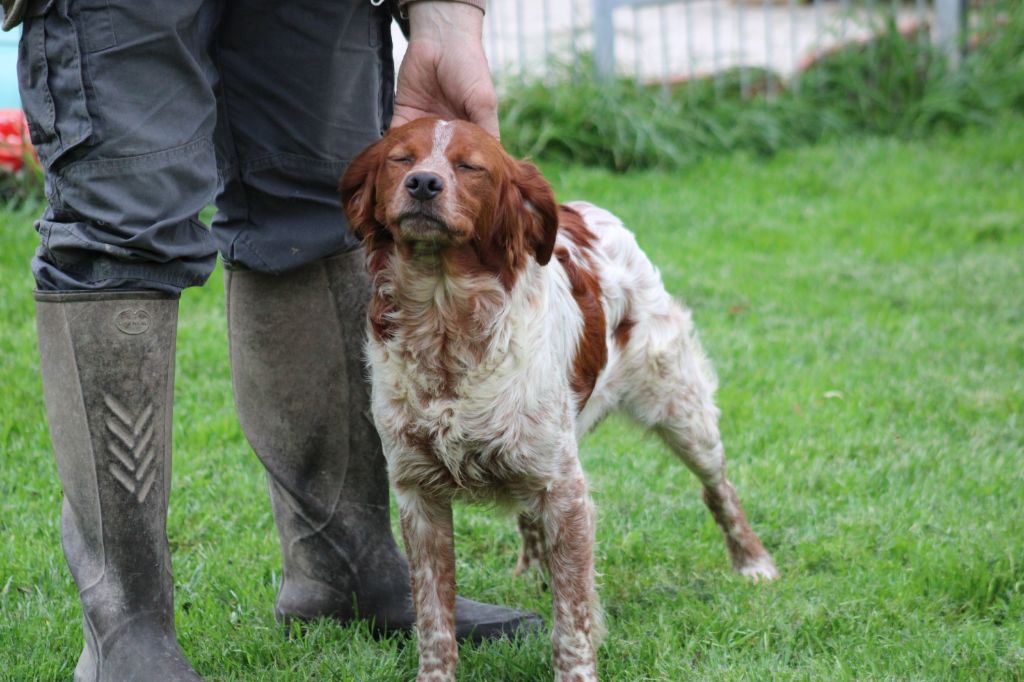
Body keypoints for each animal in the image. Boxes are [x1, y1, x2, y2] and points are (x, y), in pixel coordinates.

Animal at [335, 118, 774, 679]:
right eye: (401, 158)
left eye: (469, 165)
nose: (423, 184)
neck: (445, 319)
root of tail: (586, 210)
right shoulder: (419, 493)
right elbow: (433, 619)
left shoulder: (565, 491)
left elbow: (573, 617)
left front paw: (576, 670)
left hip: (681, 408)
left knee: (719, 488)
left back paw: (753, 562)